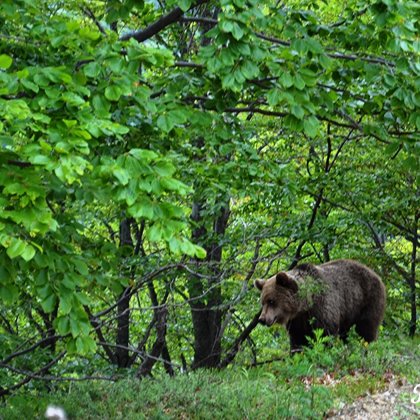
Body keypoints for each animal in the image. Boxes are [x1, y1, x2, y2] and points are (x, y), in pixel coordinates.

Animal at [254, 260, 386, 352]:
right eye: (263, 302)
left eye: (271, 301)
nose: (262, 319)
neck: (305, 304)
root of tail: (376, 275)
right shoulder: (297, 321)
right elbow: (297, 339)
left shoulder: (323, 308)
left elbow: (325, 334)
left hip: (367, 300)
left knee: (366, 330)